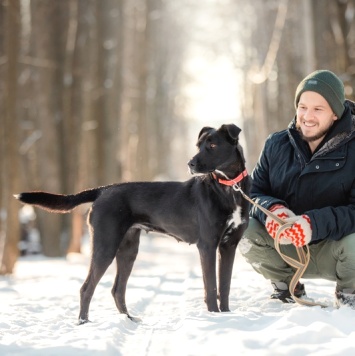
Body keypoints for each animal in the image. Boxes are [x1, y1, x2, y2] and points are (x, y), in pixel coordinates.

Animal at [16, 124, 250, 324]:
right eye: (198, 145)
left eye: (212, 145)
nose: (190, 164)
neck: (229, 187)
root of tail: (103, 190)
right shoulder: (207, 245)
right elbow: (211, 288)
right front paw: (215, 317)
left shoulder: (228, 246)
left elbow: (225, 286)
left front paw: (226, 315)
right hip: (105, 245)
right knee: (87, 288)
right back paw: (84, 323)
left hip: (128, 249)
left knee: (117, 289)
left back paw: (128, 319)